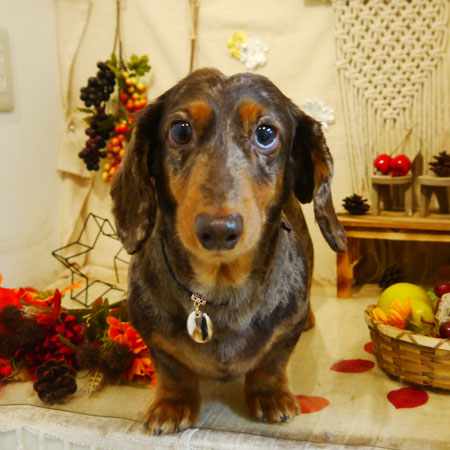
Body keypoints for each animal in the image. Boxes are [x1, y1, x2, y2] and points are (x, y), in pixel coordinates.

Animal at [111, 68, 346, 434]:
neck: (220, 289)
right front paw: (172, 404)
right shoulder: (151, 333)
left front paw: (270, 395)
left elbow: (272, 362)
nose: (219, 230)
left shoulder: (285, 333)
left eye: (266, 134)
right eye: (181, 131)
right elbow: (172, 370)